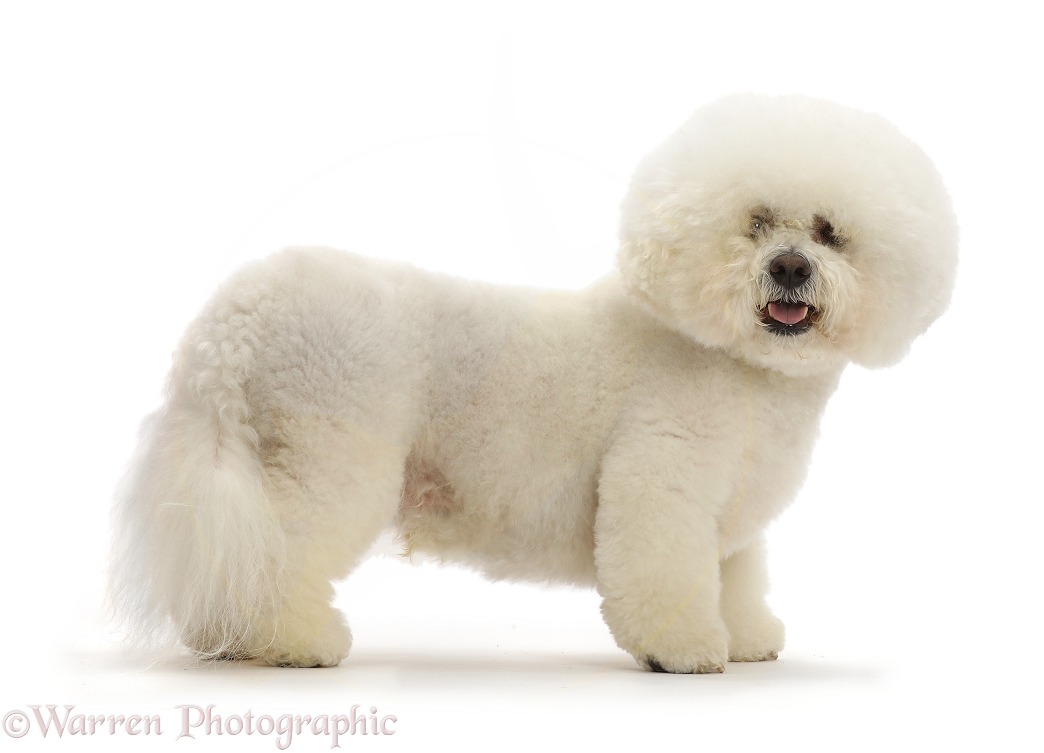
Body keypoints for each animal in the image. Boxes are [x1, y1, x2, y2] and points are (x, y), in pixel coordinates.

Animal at [110, 90, 956, 672]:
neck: (738, 361)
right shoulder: (663, 478)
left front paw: (746, 637)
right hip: (328, 453)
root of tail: (236, 316)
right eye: (754, 222)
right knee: (280, 552)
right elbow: (667, 574)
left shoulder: (729, 513)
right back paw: (289, 641)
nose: (788, 267)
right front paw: (685, 651)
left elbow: (735, 578)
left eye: (829, 232)